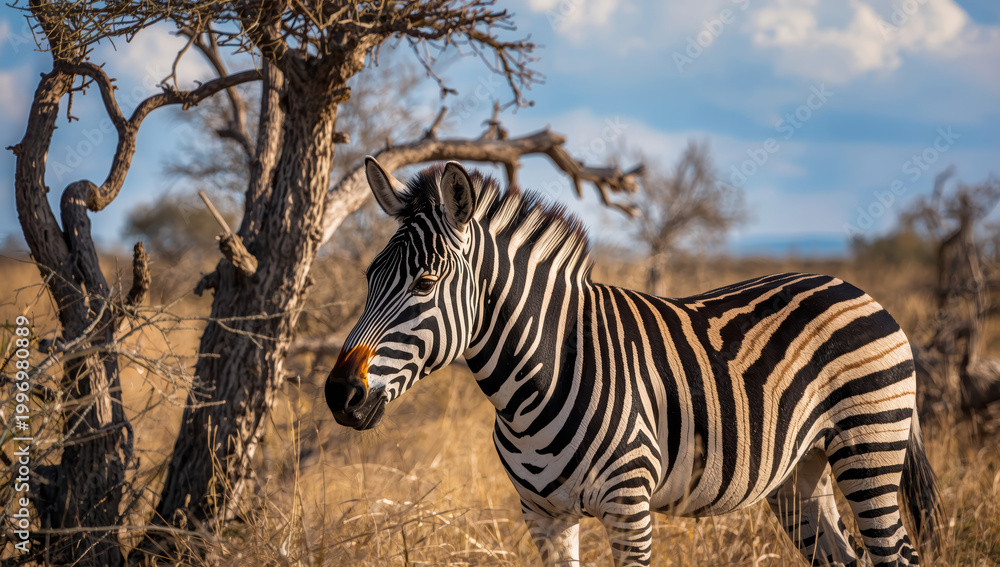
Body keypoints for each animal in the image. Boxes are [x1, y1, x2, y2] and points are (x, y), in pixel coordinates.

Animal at [325, 157, 941, 567]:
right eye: (368, 277)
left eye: (426, 283)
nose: (339, 394)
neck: (537, 382)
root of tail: (858, 290)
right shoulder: (542, 515)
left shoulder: (629, 509)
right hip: (802, 473)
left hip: (871, 449)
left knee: (897, 555)